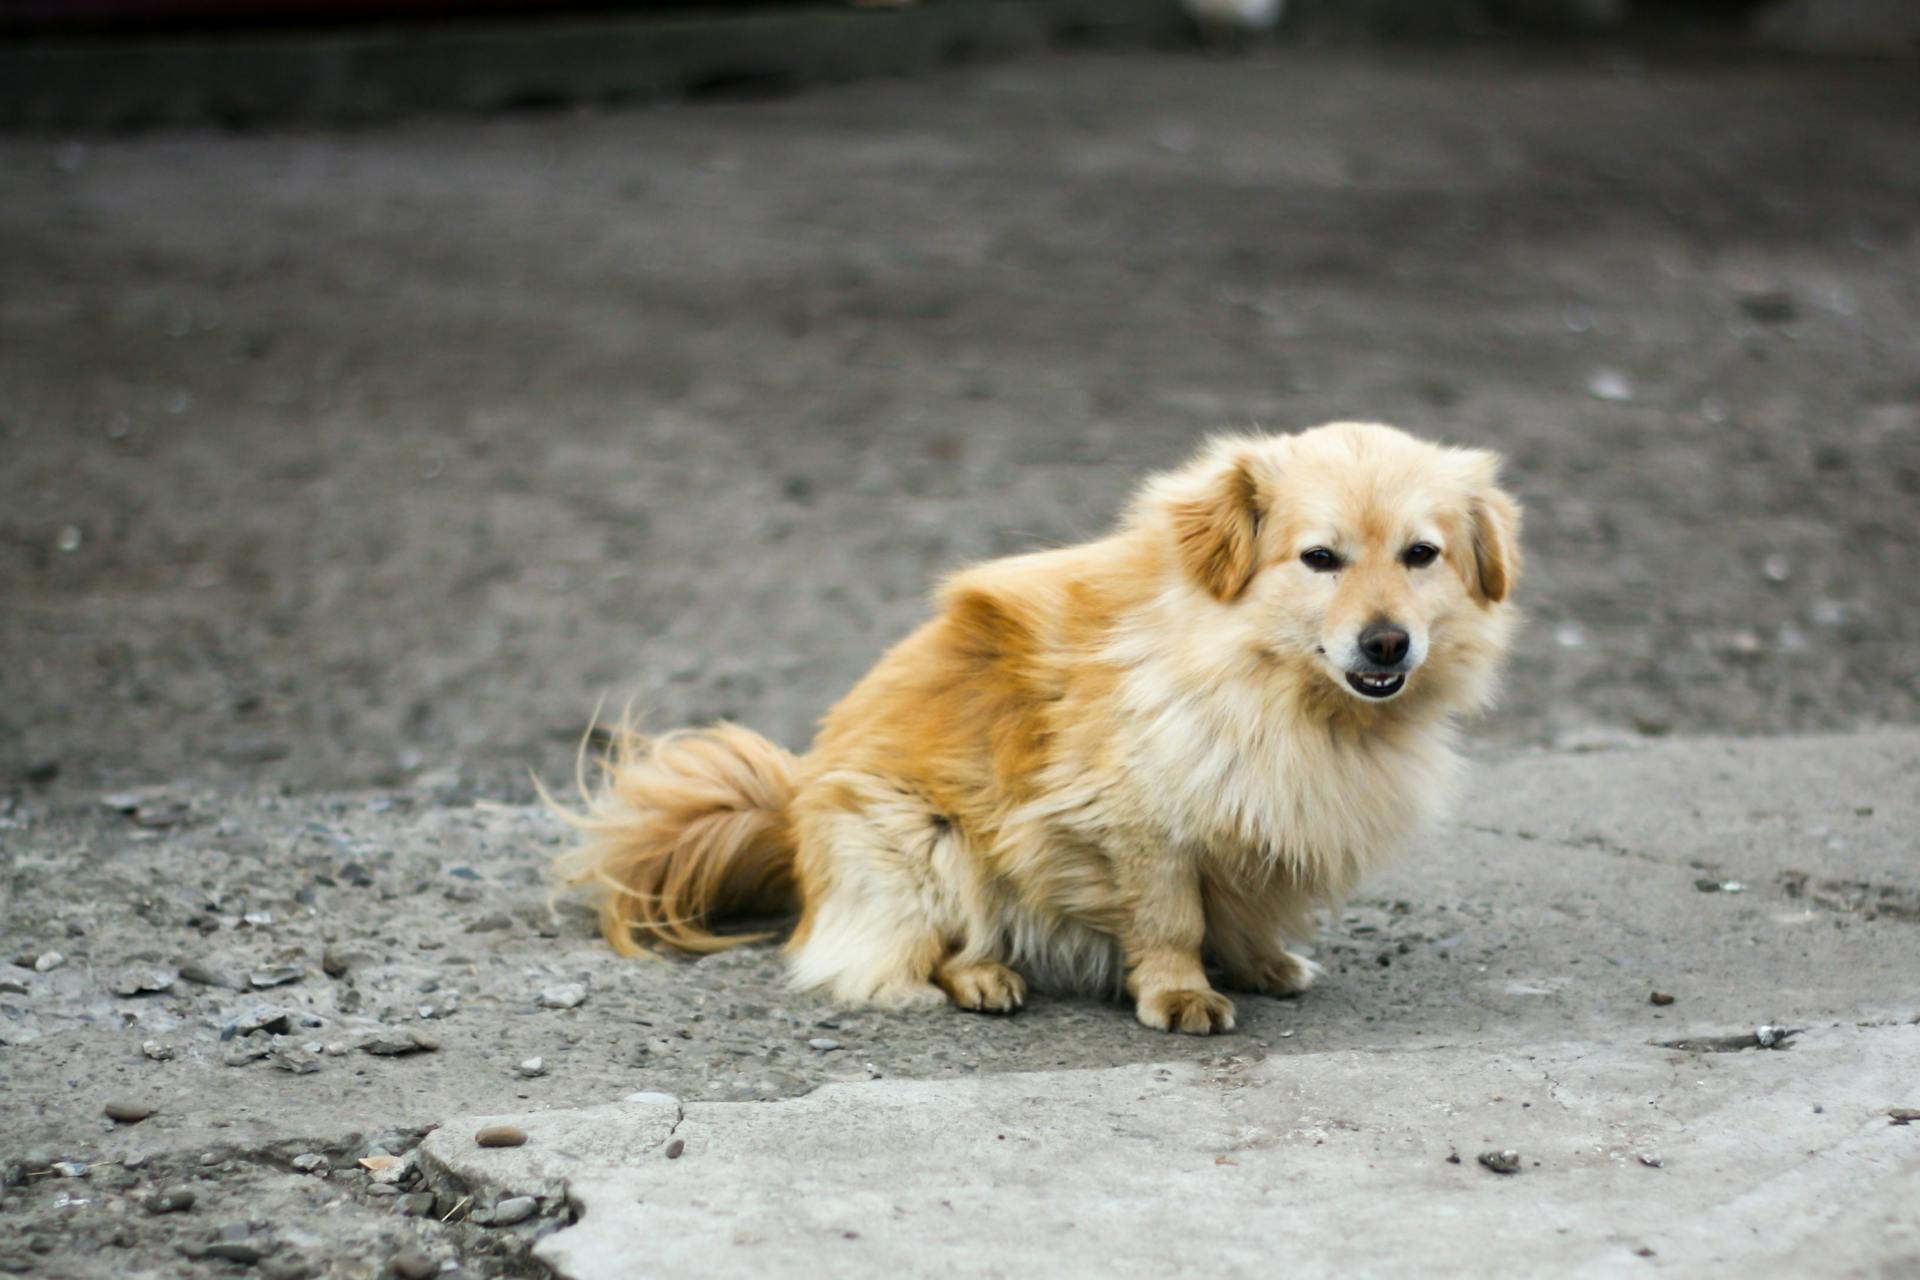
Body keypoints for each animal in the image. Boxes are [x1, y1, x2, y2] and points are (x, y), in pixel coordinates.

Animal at [549, 426, 1520, 1036]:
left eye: (1421, 555)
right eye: (1320, 559)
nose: (1387, 641)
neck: (1274, 688)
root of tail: (788, 822)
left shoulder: (1253, 818)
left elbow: (1242, 910)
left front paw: (1260, 962)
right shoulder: (1141, 825)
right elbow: (1171, 918)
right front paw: (1179, 994)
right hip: (929, 843)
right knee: (919, 953)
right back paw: (984, 976)